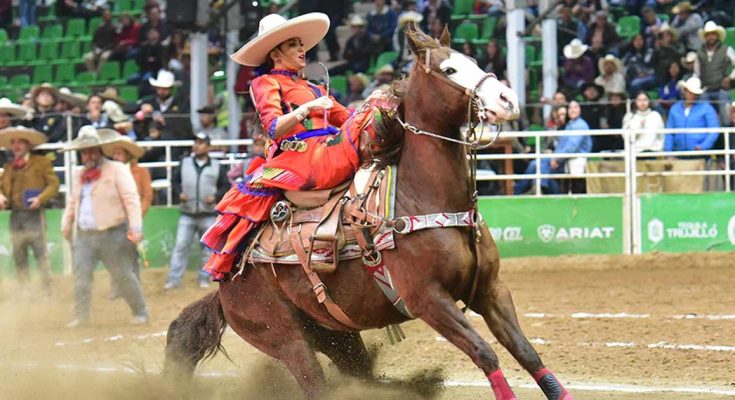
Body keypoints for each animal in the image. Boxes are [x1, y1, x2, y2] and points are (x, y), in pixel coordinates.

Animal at [165, 25, 576, 400]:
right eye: (449, 69)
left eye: (473, 61)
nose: (507, 98)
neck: (428, 199)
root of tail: (226, 281)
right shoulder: (430, 302)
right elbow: (485, 353)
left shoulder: (490, 290)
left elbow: (526, 352)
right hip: (284, 339)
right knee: (313, 381)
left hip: (336, 335)